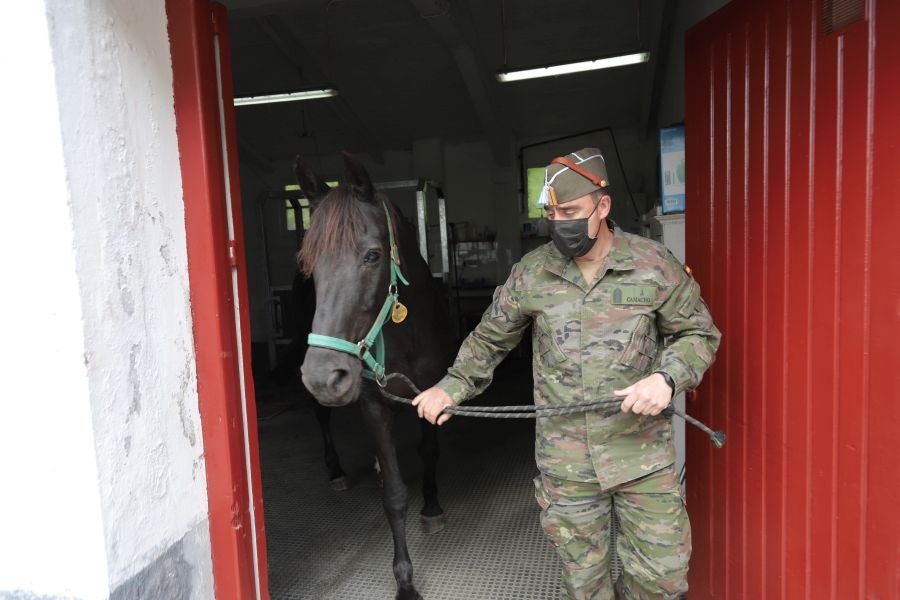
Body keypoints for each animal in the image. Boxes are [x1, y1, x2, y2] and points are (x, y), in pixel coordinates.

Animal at [296, 154, 454, 600]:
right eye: (308, 261)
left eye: (371, 256)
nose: (323, 377)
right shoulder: (373, 406)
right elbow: (394, 497)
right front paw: (405, 581)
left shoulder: (430, 396)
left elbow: (430, 452)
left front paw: (432, 507)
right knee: (321, 418)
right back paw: (336, 471)